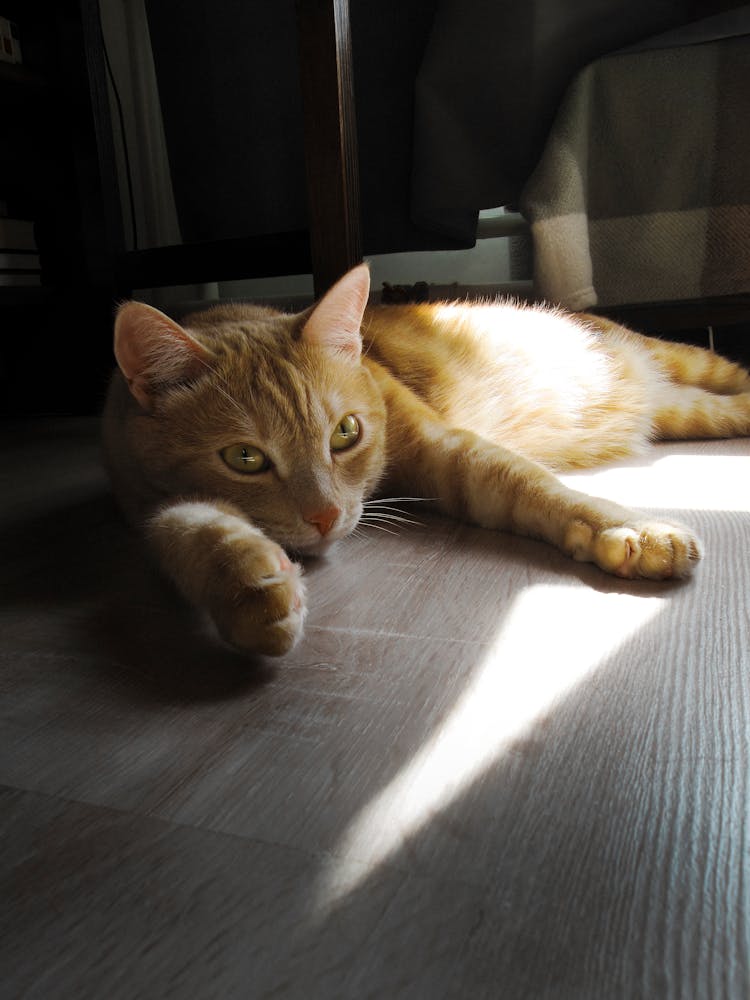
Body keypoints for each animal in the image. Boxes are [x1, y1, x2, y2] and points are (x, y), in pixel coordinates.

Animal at [101, 266, 750, 656]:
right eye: (244, 457)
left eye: (345, 432)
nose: (325, 517)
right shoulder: (151, 503)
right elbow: (187, 530)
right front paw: (249, 589)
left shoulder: (447, 451)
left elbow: (536, 487)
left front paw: (632, 529)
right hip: (688, 410)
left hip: (689, 365)